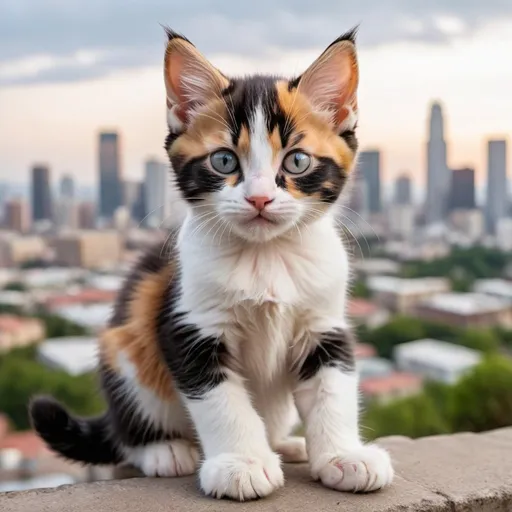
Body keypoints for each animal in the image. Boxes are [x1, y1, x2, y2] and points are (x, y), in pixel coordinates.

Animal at [30, 25, 394, 500]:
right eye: (224, 160)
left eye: (297, 161)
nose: (259, 198)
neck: (266, 257)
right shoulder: (188, 325)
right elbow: (223, 401)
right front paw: (243, 464)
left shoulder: (325, 325)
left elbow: (333, 389)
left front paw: (344, 456)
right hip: (125, 344)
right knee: (127, 430)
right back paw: (164, 450)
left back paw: (287, 445)